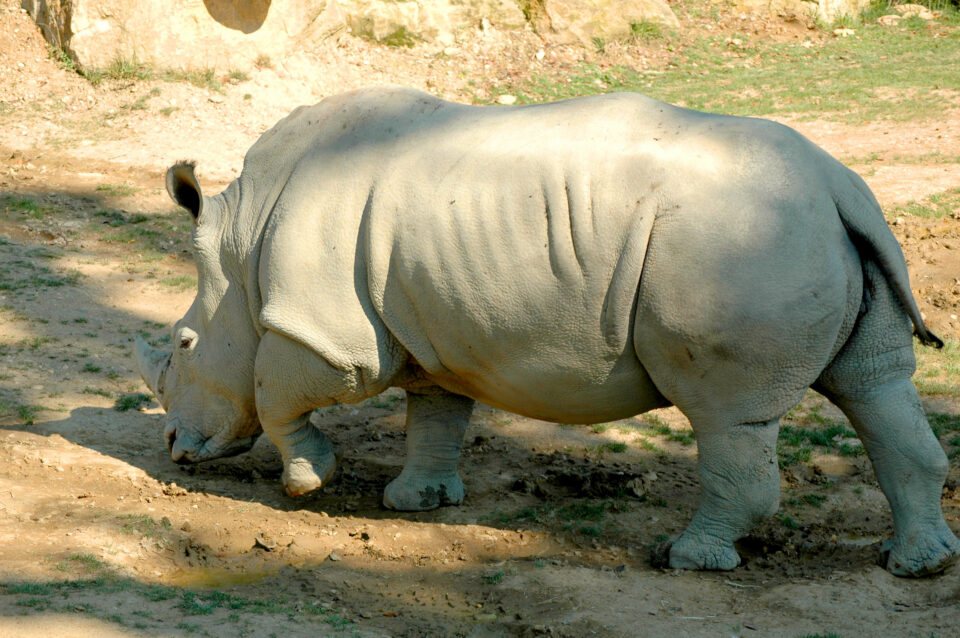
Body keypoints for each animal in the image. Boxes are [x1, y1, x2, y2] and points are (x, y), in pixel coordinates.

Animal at [135, 87, 959, 576]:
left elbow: (277, 392)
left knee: (728, 414)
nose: (174, 448)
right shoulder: (434, 325)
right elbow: (436, 411)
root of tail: (838, 186)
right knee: (876, 387)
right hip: (822, 230)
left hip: (740, 247)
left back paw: (687, 559)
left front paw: (308, 483)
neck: (241, 246)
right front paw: (417, 503)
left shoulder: (322, 332)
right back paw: (918, 563)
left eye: (181, 346)